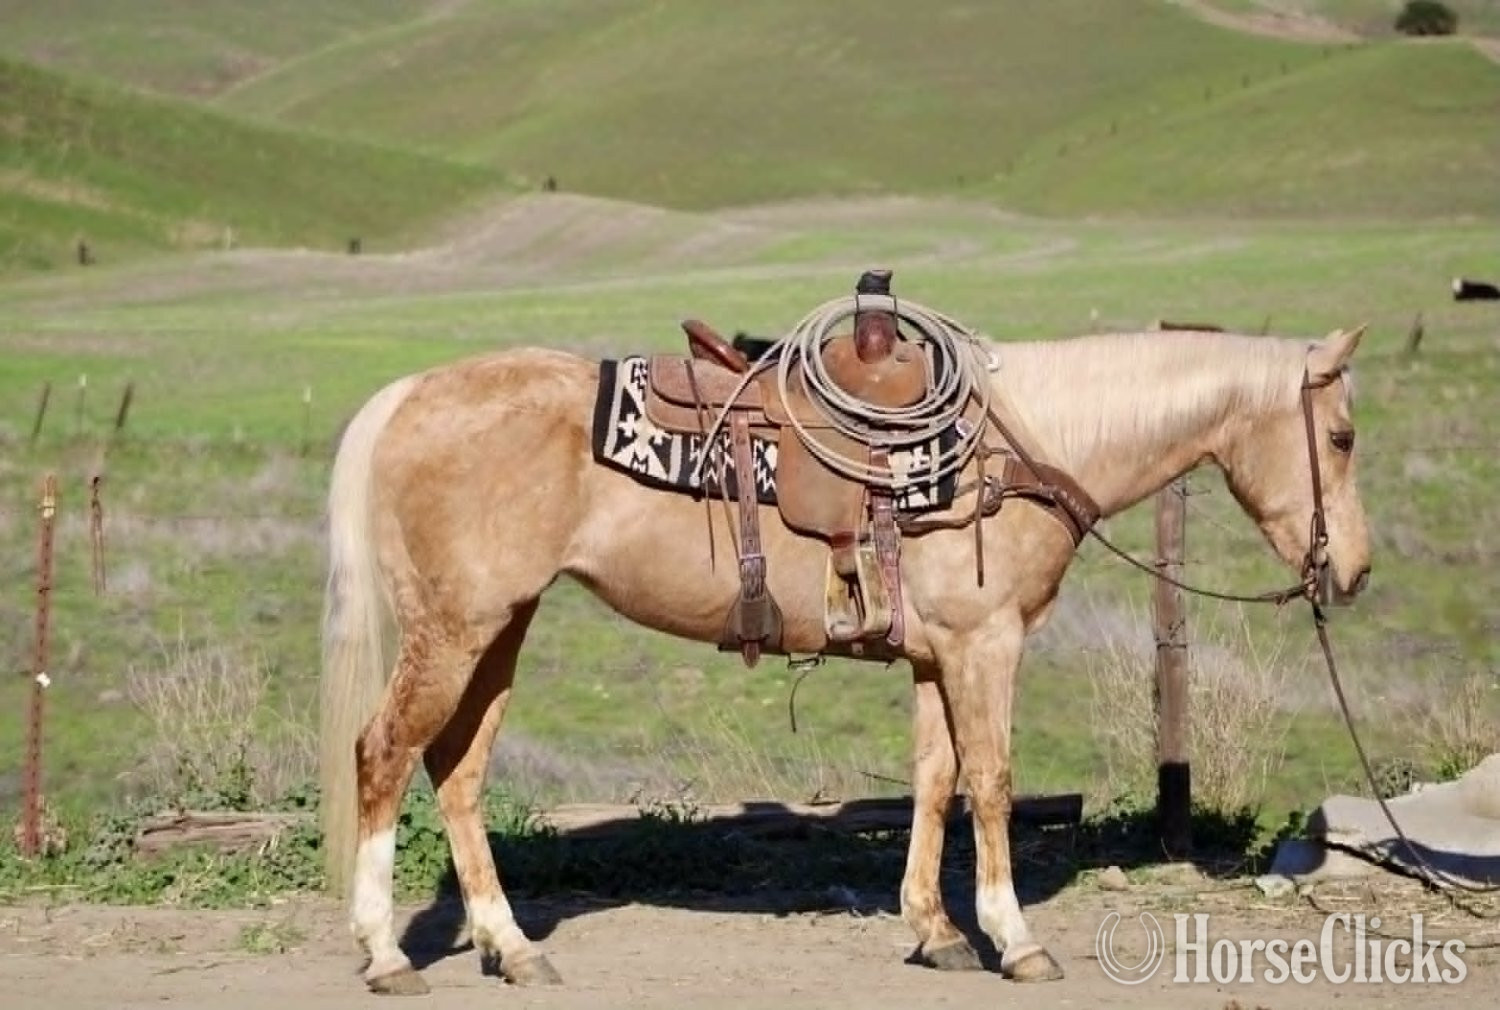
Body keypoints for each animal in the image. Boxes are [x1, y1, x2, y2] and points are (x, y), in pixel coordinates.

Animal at [316, 320, 1371, 994]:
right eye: (1344, 435)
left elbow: (937, 783)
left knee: (457, 772)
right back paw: (387, 955)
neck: (1016, 451)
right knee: (383, 754)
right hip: (455, 630)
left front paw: (936, 931)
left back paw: (513, 948)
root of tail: (407, 397)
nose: (1353, 570)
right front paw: (1015, 938)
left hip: (500, 627)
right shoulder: (986, 645)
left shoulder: (939, 657)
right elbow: (992, 783)